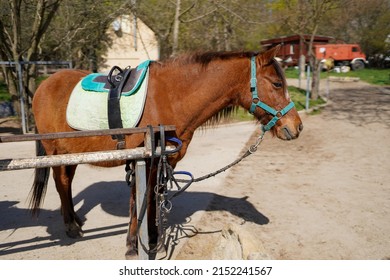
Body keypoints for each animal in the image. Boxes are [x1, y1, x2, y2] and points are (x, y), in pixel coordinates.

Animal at [31, 45, 304, 256]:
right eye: (277, 83)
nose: (297, 127)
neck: (172, 97)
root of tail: (42, 85)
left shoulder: (166, 161)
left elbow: (154, 197)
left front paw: (153, 238)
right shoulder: (144, 159)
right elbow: (140, 200)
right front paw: (134, 245)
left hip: (71, 154)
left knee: (66, 182)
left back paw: (75, 220)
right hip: (55, 152)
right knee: (61, 182)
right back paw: (71, 227)